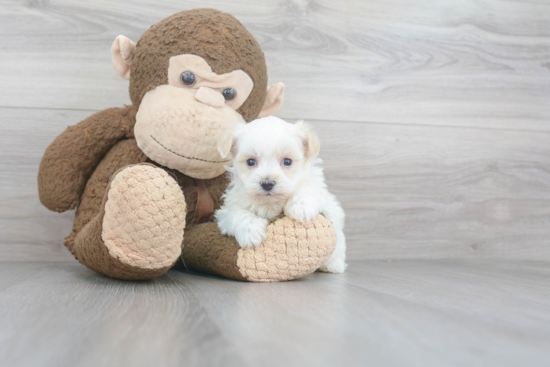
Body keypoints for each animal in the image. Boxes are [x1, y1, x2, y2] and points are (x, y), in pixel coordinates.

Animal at [217, 116, 350, 274]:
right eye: (250, 161)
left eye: (287, 161)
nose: (267, 183)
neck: (271, 203)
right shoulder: (226, 211)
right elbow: (237, 213)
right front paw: (250, 231)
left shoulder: (321, 192)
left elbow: (309, 188)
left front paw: (301, 206)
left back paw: (333, 265)